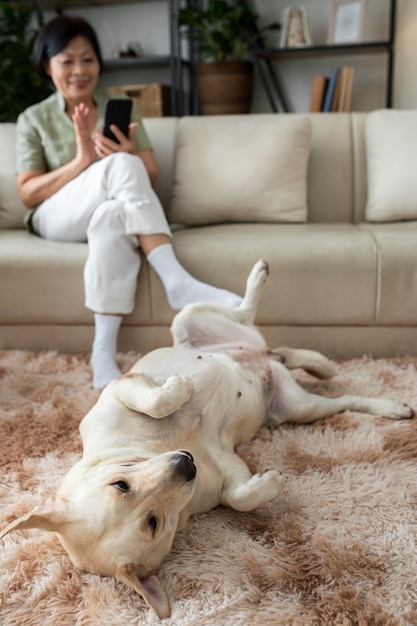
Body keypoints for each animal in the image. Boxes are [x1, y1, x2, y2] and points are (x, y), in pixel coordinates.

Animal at [0, 258, 412, 616]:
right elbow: (240, 497)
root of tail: (260, 357)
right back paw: (373, 396)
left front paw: (178, 389)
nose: (186, 463)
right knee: (335, 395)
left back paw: (270, 295)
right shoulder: (227, 470)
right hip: (299, 408)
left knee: (243, 313)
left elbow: (154, 399)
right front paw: (271, 482)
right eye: (153, 523)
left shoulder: (118, 390)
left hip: (189, 319)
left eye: (121, 485)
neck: (158, 449)